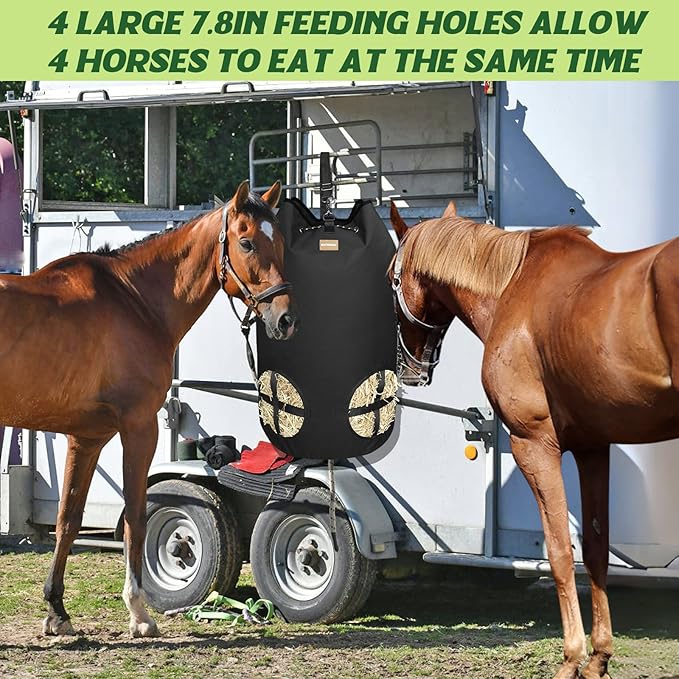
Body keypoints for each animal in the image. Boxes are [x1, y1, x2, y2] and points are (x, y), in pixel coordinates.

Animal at [0, 180, 296, 639]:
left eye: (279, 242)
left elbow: (69, 518)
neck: (134, 300)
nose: (284, 319)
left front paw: (57, 610)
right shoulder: (139, 429)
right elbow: (135, 517)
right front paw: (139, 612)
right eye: (247, 242)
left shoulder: (86, 438)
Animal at [388, 200, 679, 679]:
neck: (512, 286)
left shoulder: (534, 444)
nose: (410, 369)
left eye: (390, 278)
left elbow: (560, 551)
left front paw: (571, 658)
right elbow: (595, 550)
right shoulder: (593, 448)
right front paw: (598, 656)